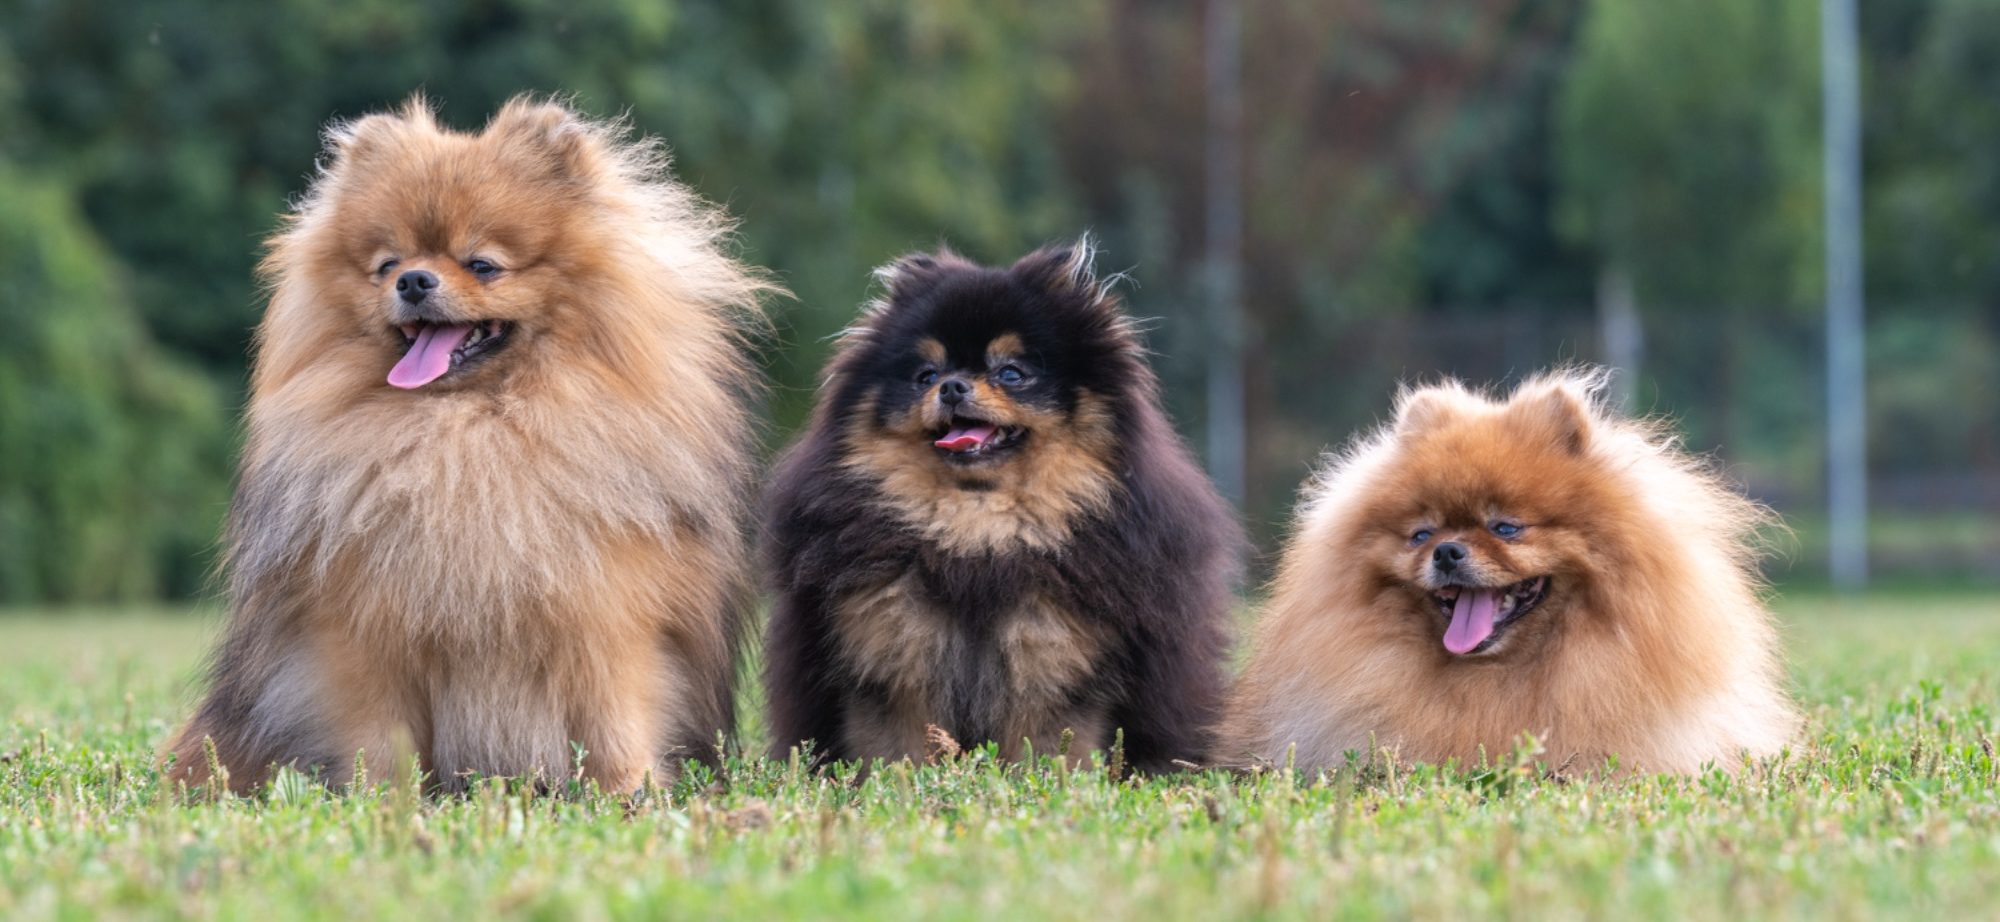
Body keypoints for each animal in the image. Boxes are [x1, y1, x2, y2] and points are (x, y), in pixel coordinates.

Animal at [166, 99, 772, 792]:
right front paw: (383, 799)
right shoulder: (363, 634)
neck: (467, 432)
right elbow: (380, 738)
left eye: (482, 264)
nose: (413, 280)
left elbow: (615, 721)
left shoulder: (611, 623)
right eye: (387, 264)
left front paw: (630, 793)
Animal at [760, 239, 1240, 768]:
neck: (978, 526)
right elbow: (898, 754)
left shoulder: (1058, 666)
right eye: (926, 374)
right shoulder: (890, 664)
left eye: (1012, 373)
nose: (951, 386)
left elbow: (1051, 753)